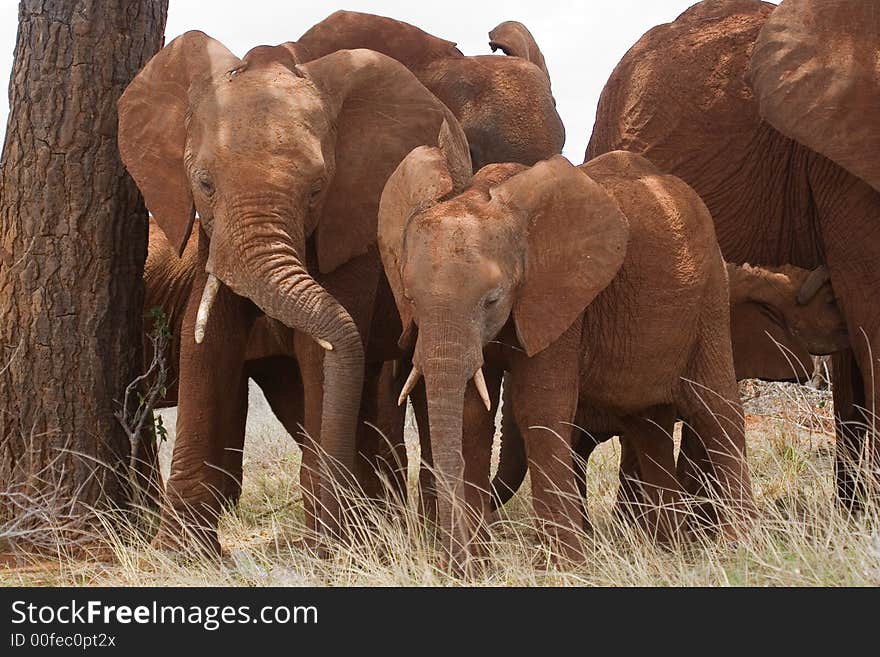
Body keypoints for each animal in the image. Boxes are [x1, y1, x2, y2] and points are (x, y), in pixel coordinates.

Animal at [120, 32, 474, 552]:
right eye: (203, 183)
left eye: (316, 190)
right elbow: (207, 339)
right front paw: (181, 554)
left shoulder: (352, 218)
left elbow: (318, 351)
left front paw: (330, 547)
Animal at [378, 145, 756, 564]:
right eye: (410, 298)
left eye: (492, 300)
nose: (452, 561)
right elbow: (473, 413)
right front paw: (477, 566)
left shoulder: (561, 299)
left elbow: (539, 408)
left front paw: (564, 566)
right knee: (648, 424)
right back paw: (667, 548)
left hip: (711, 295)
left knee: (714, 408)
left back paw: (739, 545)